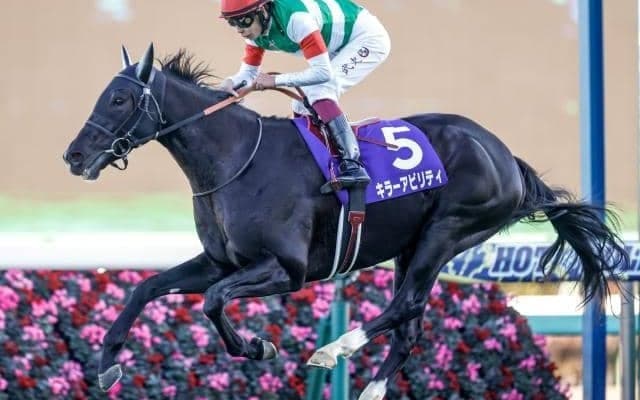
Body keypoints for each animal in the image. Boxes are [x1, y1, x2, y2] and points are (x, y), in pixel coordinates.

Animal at [63, 44, 628, 400]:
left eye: (118, 98)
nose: (73, 155)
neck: (236, 159)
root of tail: (506, 156)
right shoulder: (219, 261)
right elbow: (148, 288)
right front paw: (108, 364)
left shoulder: (287, 269)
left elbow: (214, 300)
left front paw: (254, 345)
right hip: (412, 245)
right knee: (409, 325)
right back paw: (370, 389)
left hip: (447, 231)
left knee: (406, 305)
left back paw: (335, 350)